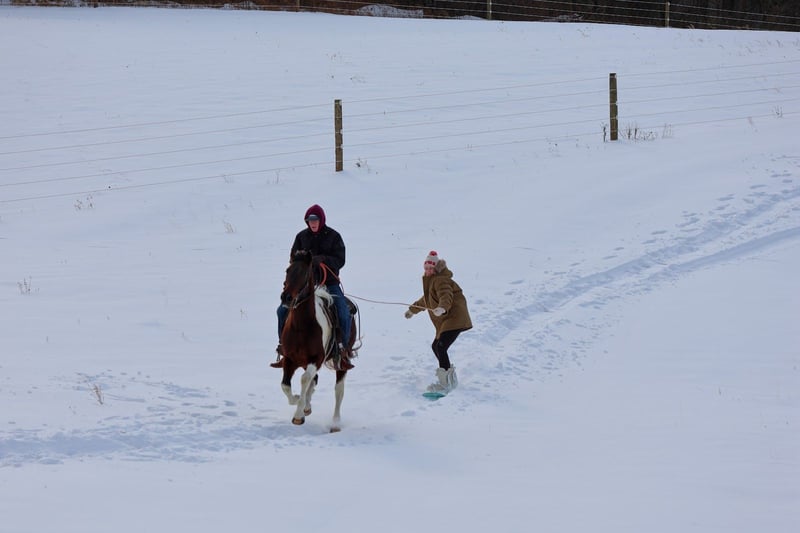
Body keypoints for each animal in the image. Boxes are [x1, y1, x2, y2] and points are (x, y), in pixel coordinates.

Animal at [278, 250, 358, 432]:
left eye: (304, 273)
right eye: (287, 270)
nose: (286, 297)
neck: (301, 326)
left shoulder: (316, 359)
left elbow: (304, 379)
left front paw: (298, 415)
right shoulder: (289, 359)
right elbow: (286, 385)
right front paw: (299, 401)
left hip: (341, 362)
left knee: (338, 390)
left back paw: (335, 423)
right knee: (313, 381)